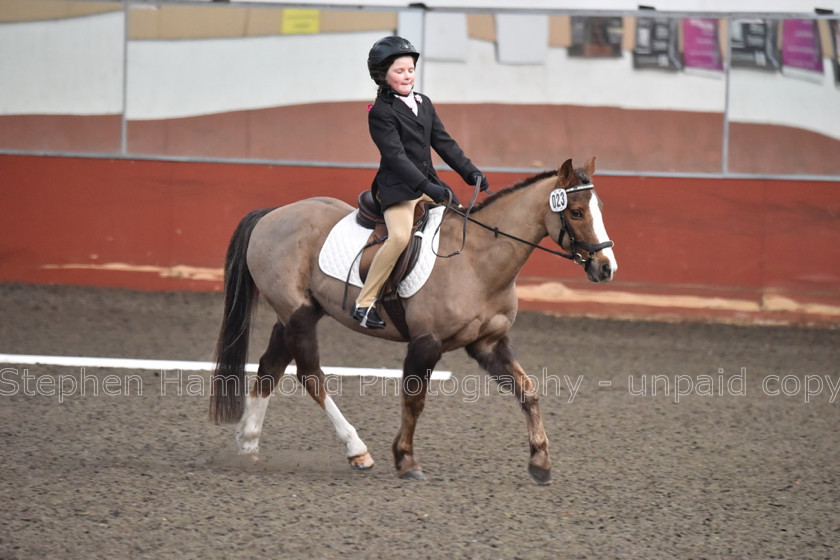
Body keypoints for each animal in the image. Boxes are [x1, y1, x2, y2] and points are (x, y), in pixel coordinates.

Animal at [210, 155, 616, 484]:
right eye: (576, 212)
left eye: (598, 208)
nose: (606, 268)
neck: (477, 261)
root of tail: (273, 214)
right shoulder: (426, 343)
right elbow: (414, 400)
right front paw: (406, 461)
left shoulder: (487, 344)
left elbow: (528, 390)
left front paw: (541, 463)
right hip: (297, 314)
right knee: (310, 375)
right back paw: (357, 450)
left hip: (297, 312)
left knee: (270, 367)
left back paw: (248, 444)